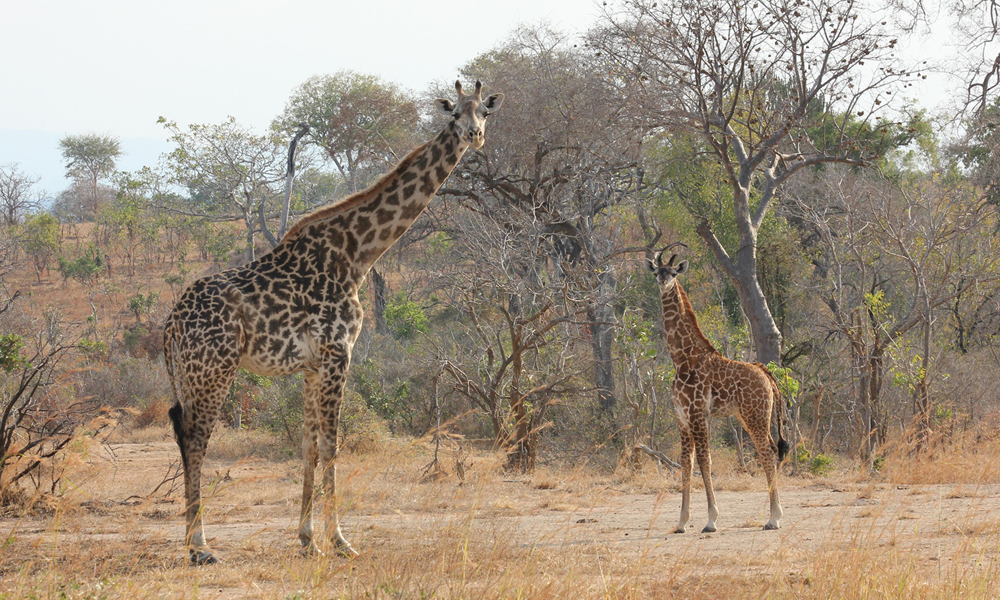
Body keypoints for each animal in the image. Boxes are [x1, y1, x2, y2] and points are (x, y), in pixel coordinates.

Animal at [167, 81, 504, 564]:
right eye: (455, 114)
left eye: (485, 113)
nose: (474, 135)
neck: (357, 256)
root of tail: (171, 323)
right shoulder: (337, 353)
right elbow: (332, 443)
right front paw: (341, 541)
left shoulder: (312, 365)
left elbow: (309, 444)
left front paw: (308, 539)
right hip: (213, 370)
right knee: (196, 438)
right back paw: (200, 546)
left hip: (189, 374)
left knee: (183, 434)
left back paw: (196, 540)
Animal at [648, 245, 788, 536]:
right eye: (657, 271)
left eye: (673, 272)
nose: (663, 282)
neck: (682, 358)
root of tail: (768, 376)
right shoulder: (682, 418)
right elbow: (686, 464)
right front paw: (681, 522)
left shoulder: (698, 414)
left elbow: (705, 461)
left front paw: (711, 520)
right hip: (750, 416)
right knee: (771, 449)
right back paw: (774, 516)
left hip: (754, 415)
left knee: (767, 452)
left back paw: (773, 518)